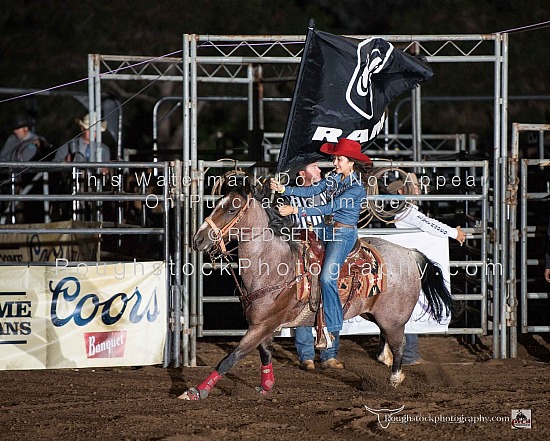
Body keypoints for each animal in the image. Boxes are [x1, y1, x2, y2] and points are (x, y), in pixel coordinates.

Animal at [179, 182, 454, 398]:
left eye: (232, 207)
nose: (198, 239)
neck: (273, 264)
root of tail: (409, 253)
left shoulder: (263, 324)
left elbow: (231, 357)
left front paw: (196, 392)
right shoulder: (261, 324)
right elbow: (265, 353)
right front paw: (266, 386)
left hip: (393, 319)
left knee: (399, 344)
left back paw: (394, 379)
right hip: (375, 315)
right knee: (387, 340)